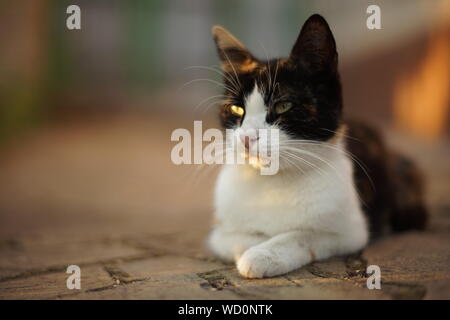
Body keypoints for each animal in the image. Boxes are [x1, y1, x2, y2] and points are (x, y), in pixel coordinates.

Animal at [207, 13, 426, 278]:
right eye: (237, 109)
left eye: (283, 106)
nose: (247, 138)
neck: (272, 183)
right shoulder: (220, 231)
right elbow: (232, 237)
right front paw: (255, 243)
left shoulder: (351, 231)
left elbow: (303, 234)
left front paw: (263, 254)